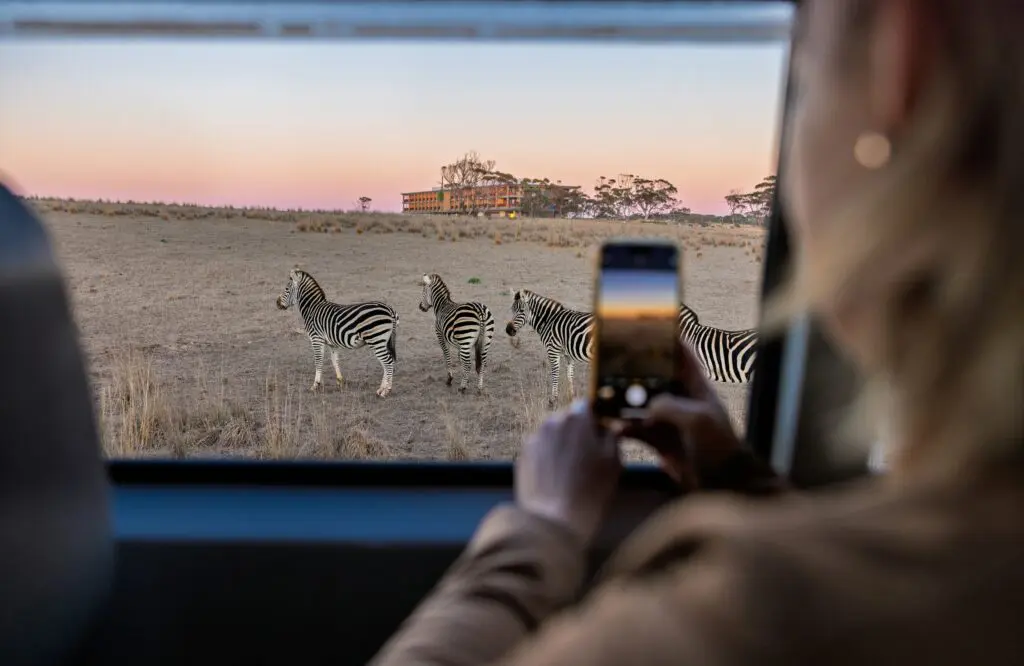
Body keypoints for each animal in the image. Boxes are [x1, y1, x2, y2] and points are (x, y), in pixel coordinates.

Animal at [276, 268, 398, 397]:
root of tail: (389, 309)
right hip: (382, 341)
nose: (277, 303)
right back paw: (381, 389)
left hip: (376, 340)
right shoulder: (332, 343)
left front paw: (315, 385)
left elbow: (318, 361)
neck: (312, 309)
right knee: (387, 363)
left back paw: (386, 390)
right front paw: (340, 382)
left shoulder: (316, 339)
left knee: (388, 362)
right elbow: (335, 361)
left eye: (286, 289)